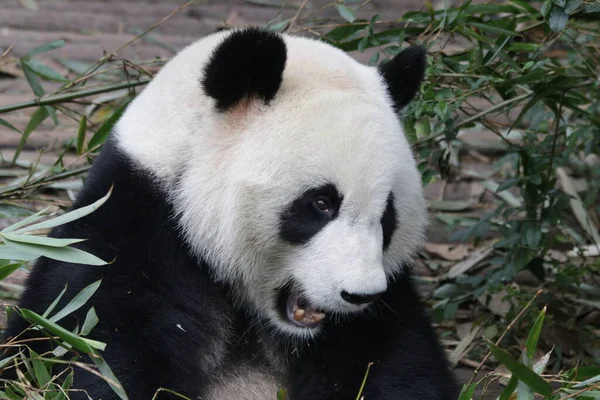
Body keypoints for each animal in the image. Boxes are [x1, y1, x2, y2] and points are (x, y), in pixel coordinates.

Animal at [2, 28, 458, 400]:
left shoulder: (384, 311)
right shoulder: (125, 238)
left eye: (387, 215)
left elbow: (401, 369)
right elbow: (94, 354)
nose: (360, 295)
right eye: (321, 203)